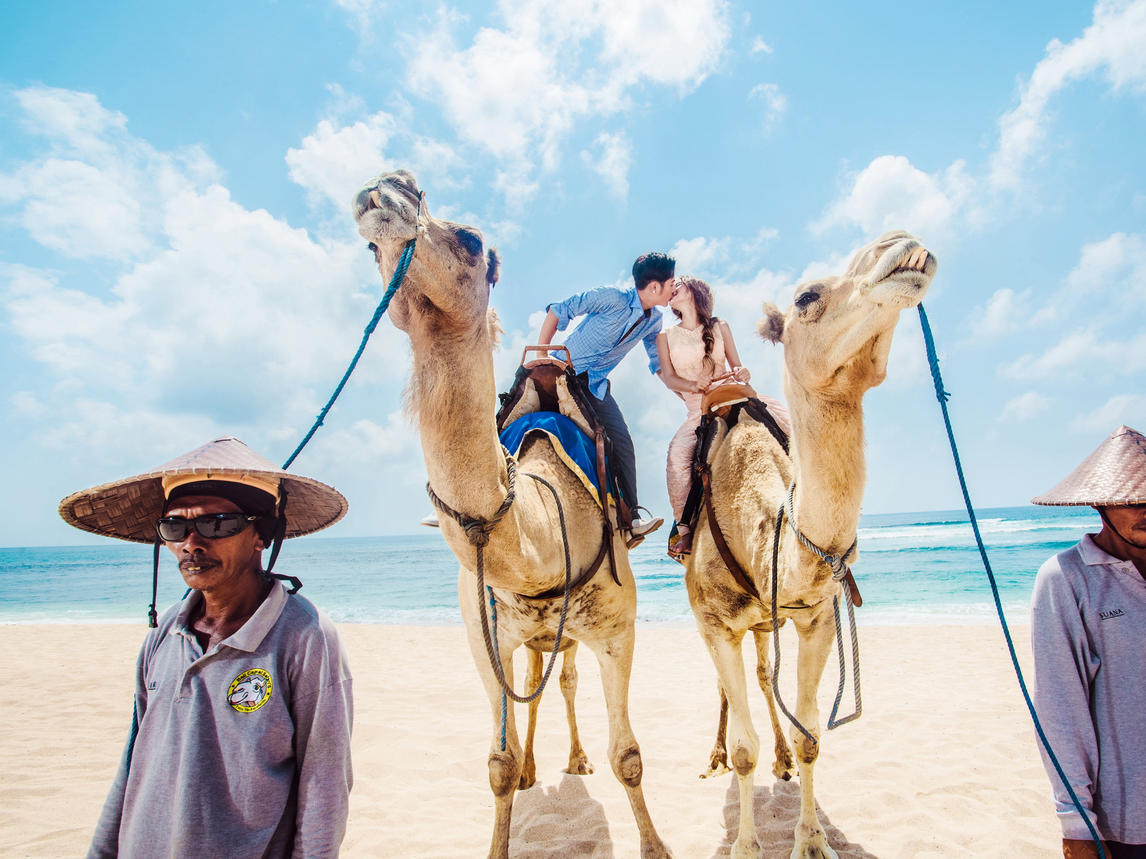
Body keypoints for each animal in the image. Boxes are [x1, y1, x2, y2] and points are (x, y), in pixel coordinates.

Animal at [352, 169, 669, 859]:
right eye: (367, 251)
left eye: (471, 240)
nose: (388, 184)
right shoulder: (484, 635)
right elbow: (495, 765)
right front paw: (513, 776)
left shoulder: (617, 627)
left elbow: (629, 756)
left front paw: (656, 845)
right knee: (538, 680)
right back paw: (533, 768)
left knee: (565, 678)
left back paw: (573, 760)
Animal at [683, 230, 935, 859]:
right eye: (806, 297)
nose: (901, 242)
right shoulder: (715, 620)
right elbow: (743, 740)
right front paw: (747, 844)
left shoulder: (816, 616)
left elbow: (812, 736)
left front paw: (812, 839)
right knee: (731, 689)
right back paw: (715, 755)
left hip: (765, 623)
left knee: (763, 675)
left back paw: (777, 759)